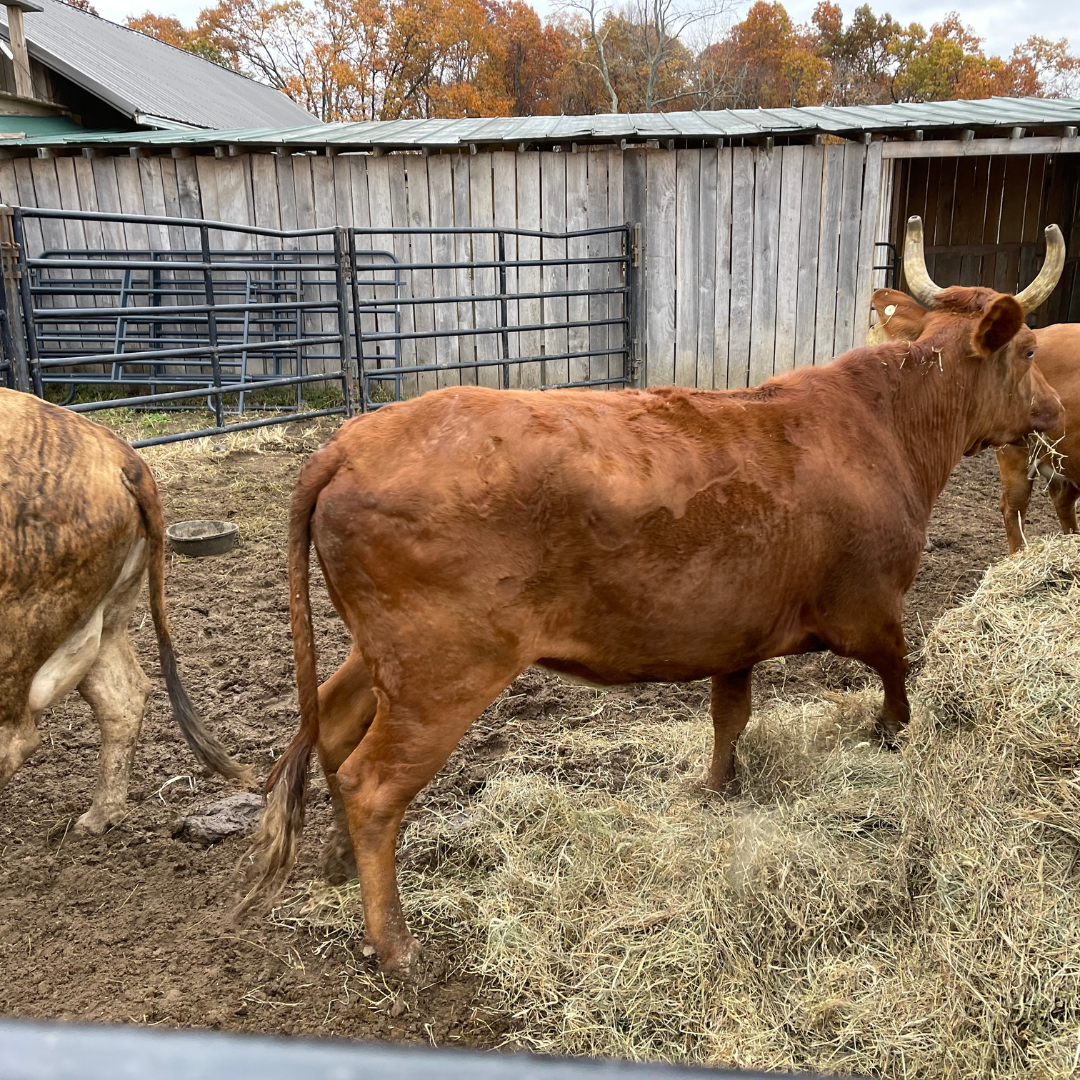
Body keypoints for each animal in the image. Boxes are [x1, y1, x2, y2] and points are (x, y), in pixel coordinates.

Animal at [0, 389, 253, 834]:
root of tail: (121, 455)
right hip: (104, 618)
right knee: (123, 698)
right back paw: (100, 817)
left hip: (20, 631)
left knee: (16, 739)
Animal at [239, 214, 1064, 974]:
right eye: (1028, 350)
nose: (1055, 406)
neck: (884, 428)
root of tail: (351, 442)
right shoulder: (867, 605)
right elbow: (899, 669)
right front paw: (892, 731)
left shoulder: (740, 629)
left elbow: (732, 715)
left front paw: (719, 786)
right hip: (445, 669)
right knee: (373, 785)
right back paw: (395, 940)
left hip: (383, 653)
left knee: (331, 729)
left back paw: (336, 865)